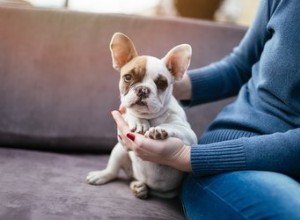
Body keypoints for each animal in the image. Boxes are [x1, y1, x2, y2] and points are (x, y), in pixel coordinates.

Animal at [86, 32, 197, 199]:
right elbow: (132, 114)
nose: (143, 89)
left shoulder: (189, 134)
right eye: (128, 77)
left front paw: (158, 130)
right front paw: (139, 121)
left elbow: (173, 125)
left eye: (162, 83)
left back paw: (140, 188)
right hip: (119, 151)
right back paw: (104, 176)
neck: (152, 117)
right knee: (113, 171)